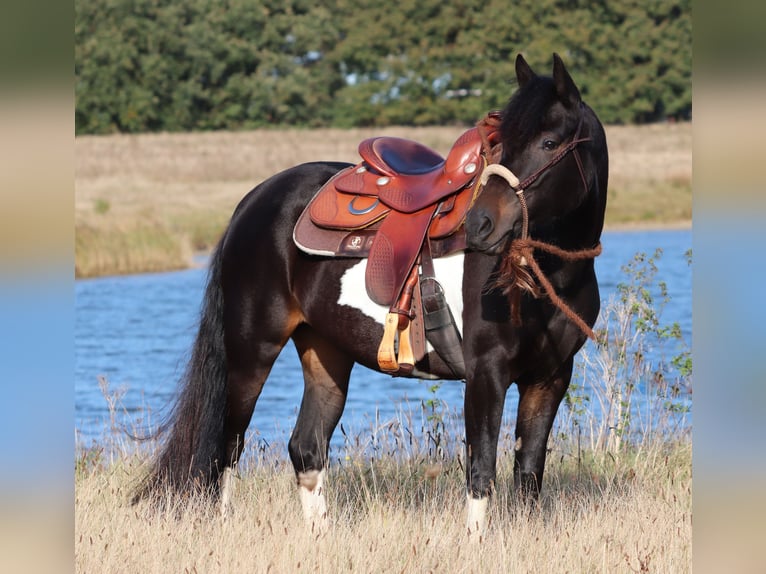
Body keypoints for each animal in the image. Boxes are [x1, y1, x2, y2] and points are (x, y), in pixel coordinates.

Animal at [135, 53, 608, 540]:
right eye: (500, 146)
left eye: (549, 142)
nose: (480, 226)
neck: (546, 276)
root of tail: (253, 201)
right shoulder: (486, 374)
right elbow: (481, 471)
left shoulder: (550, 377)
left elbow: (529, 472)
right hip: (251, 351)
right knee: (228, 444)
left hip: (325, 351)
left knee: (306, 447)